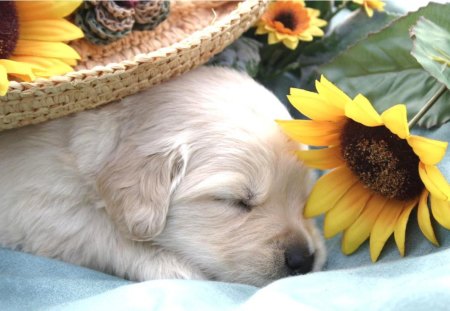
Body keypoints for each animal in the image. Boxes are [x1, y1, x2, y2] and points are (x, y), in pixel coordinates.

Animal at [0, 67, 326, 286]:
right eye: (235, 201)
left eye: (304, 201)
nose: (303, 259)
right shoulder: (36, 204)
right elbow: (98, 230)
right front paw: (171, 265)